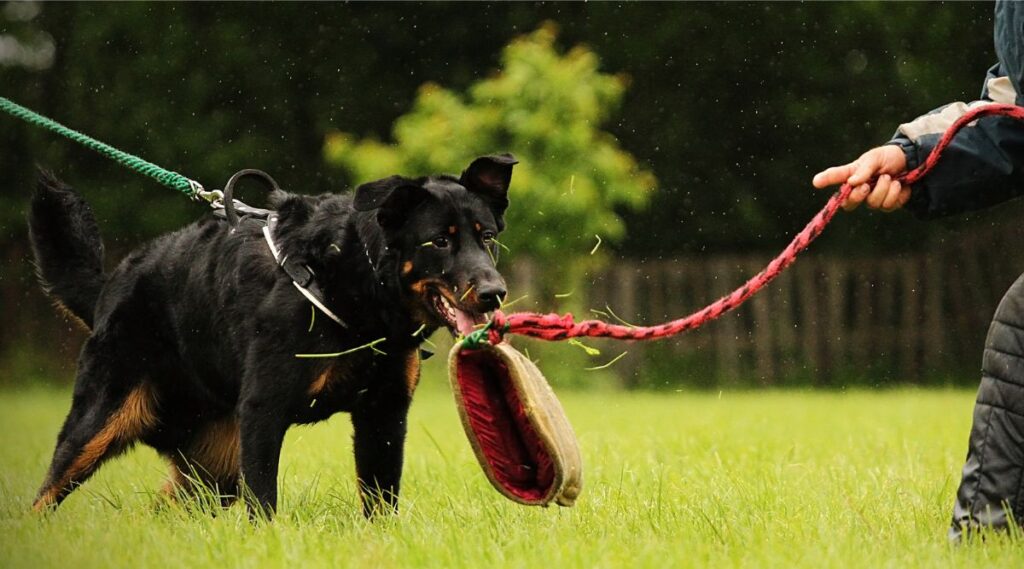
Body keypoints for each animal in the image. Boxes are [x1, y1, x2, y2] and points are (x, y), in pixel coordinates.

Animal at [28, 153, 516, 517]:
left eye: (488, 237)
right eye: (439, 241)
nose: (494, 293)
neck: (352, 280)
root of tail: (108, 290)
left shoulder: (385, 412)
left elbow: (381, 500)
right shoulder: (264, 409)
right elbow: (264, 502)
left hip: (213, 467)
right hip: (100, 422)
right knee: (43, 496)